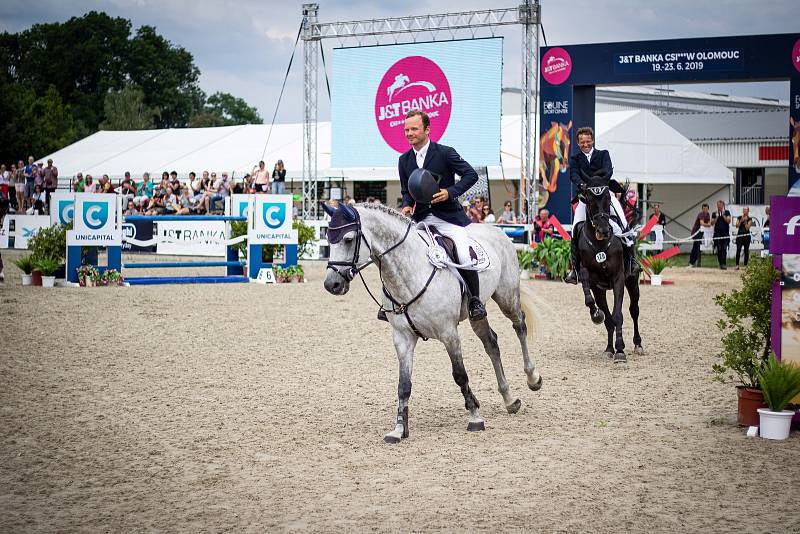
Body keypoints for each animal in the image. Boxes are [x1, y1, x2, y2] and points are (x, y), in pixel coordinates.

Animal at [322, 203, 540, 442]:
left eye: (348, 239)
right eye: (328, 239)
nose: (331, 285)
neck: (408, 273)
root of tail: (497, 231)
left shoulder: (449, 334)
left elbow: (459, 375)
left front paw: (475, 416)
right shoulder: (403, 338)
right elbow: (403, 385)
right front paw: (399, 429)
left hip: (506, 297)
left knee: (520, 326)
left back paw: (533, 378)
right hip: (478, 312)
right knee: (491, 343)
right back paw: (509, 399)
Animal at [576, 175, 644, 364]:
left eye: (607, 198)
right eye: (590, 200)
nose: (604, 230)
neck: (599, 244)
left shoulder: (618, 279)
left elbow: (618, 315)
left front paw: (620, 351)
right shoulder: (594, 284)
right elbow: (604, 315)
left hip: (632, 282)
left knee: (634, 310)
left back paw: (638, 344)